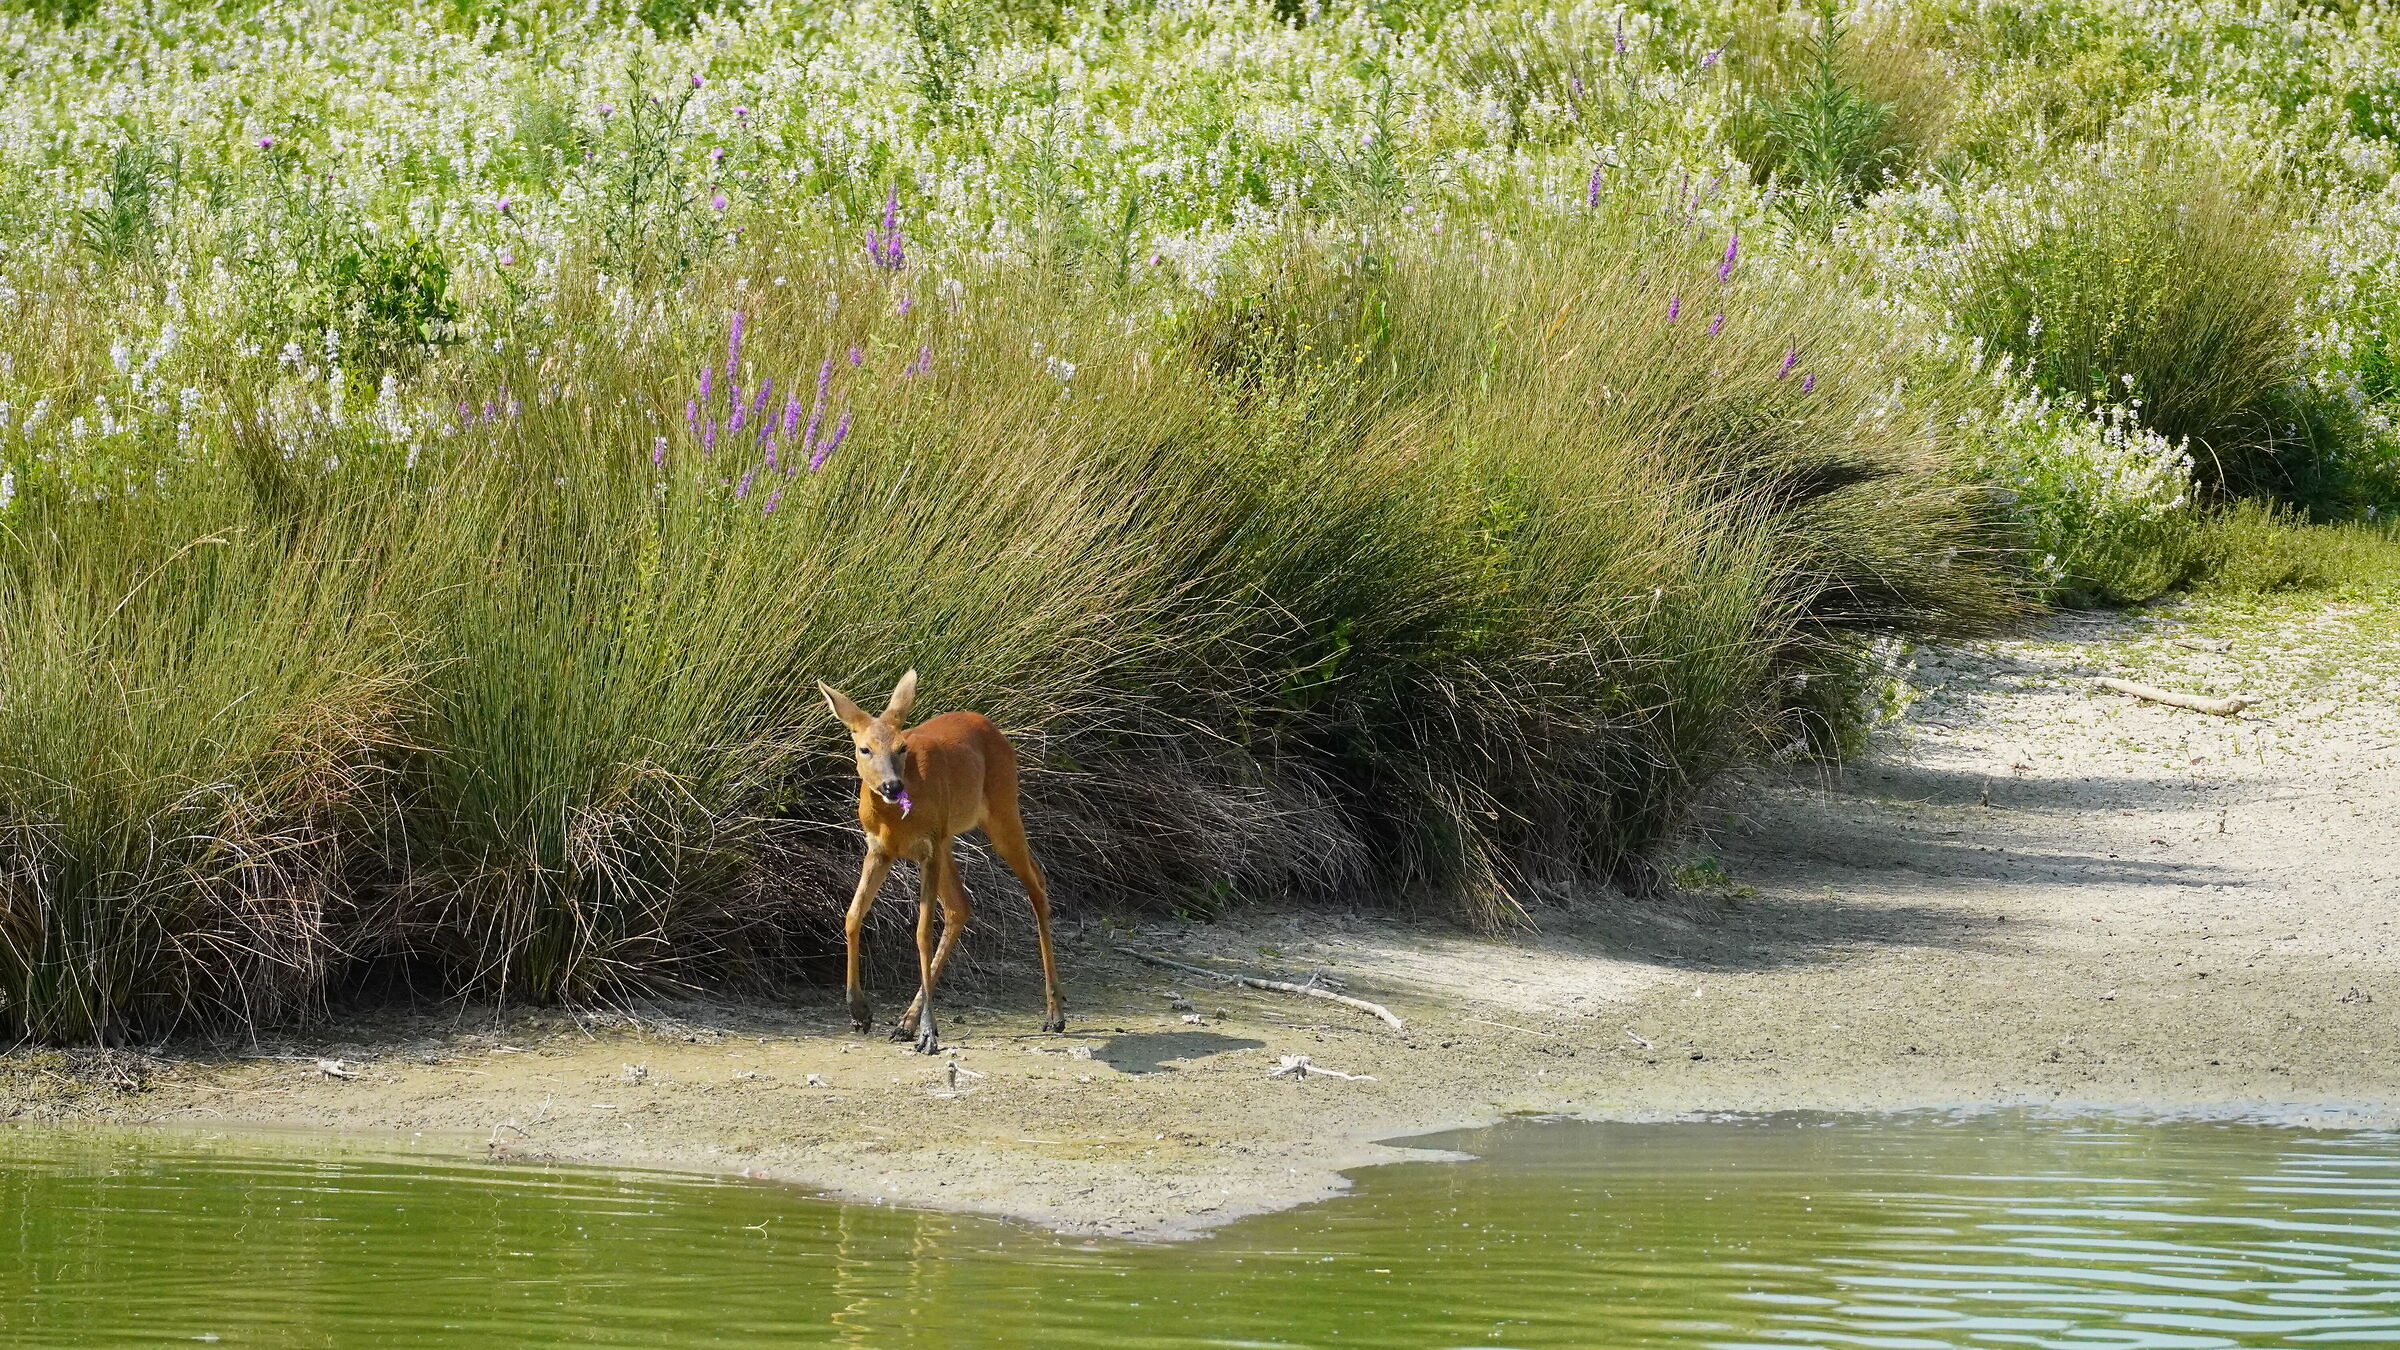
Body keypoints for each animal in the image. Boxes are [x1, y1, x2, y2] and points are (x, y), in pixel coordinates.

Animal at [818, 670, 1065, 1055]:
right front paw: (859, 1011)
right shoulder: (879, 848)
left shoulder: (927, 847)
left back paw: (1055, 1014)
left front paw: (929, 1032)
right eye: (864, 748)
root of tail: (988, 724)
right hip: (950, 838)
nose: (892, 786)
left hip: (1002, 809)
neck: (895, 822)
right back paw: (904, 1023)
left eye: (902, 747)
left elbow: (921, 932)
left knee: (1036, 885)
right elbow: (853, 915)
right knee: (960, 906)